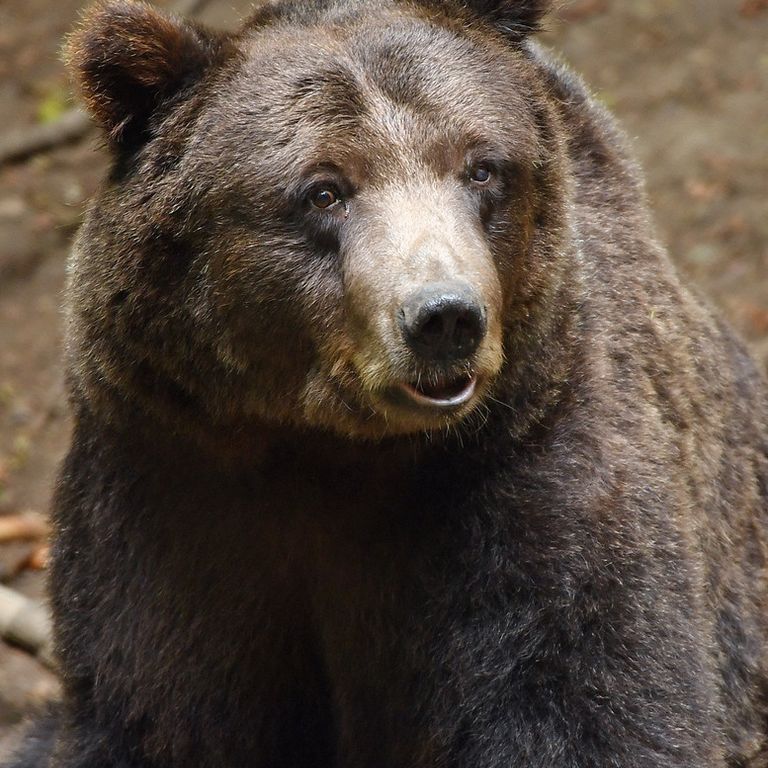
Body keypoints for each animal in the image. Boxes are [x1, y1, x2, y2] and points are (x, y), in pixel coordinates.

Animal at [7, 0, 768, 765]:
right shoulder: (169, 486)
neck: (329, 446)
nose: (445, 316)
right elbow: (158, 709)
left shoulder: (540, 475)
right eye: (324, 190)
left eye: (481, 168)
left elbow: (589, 695)